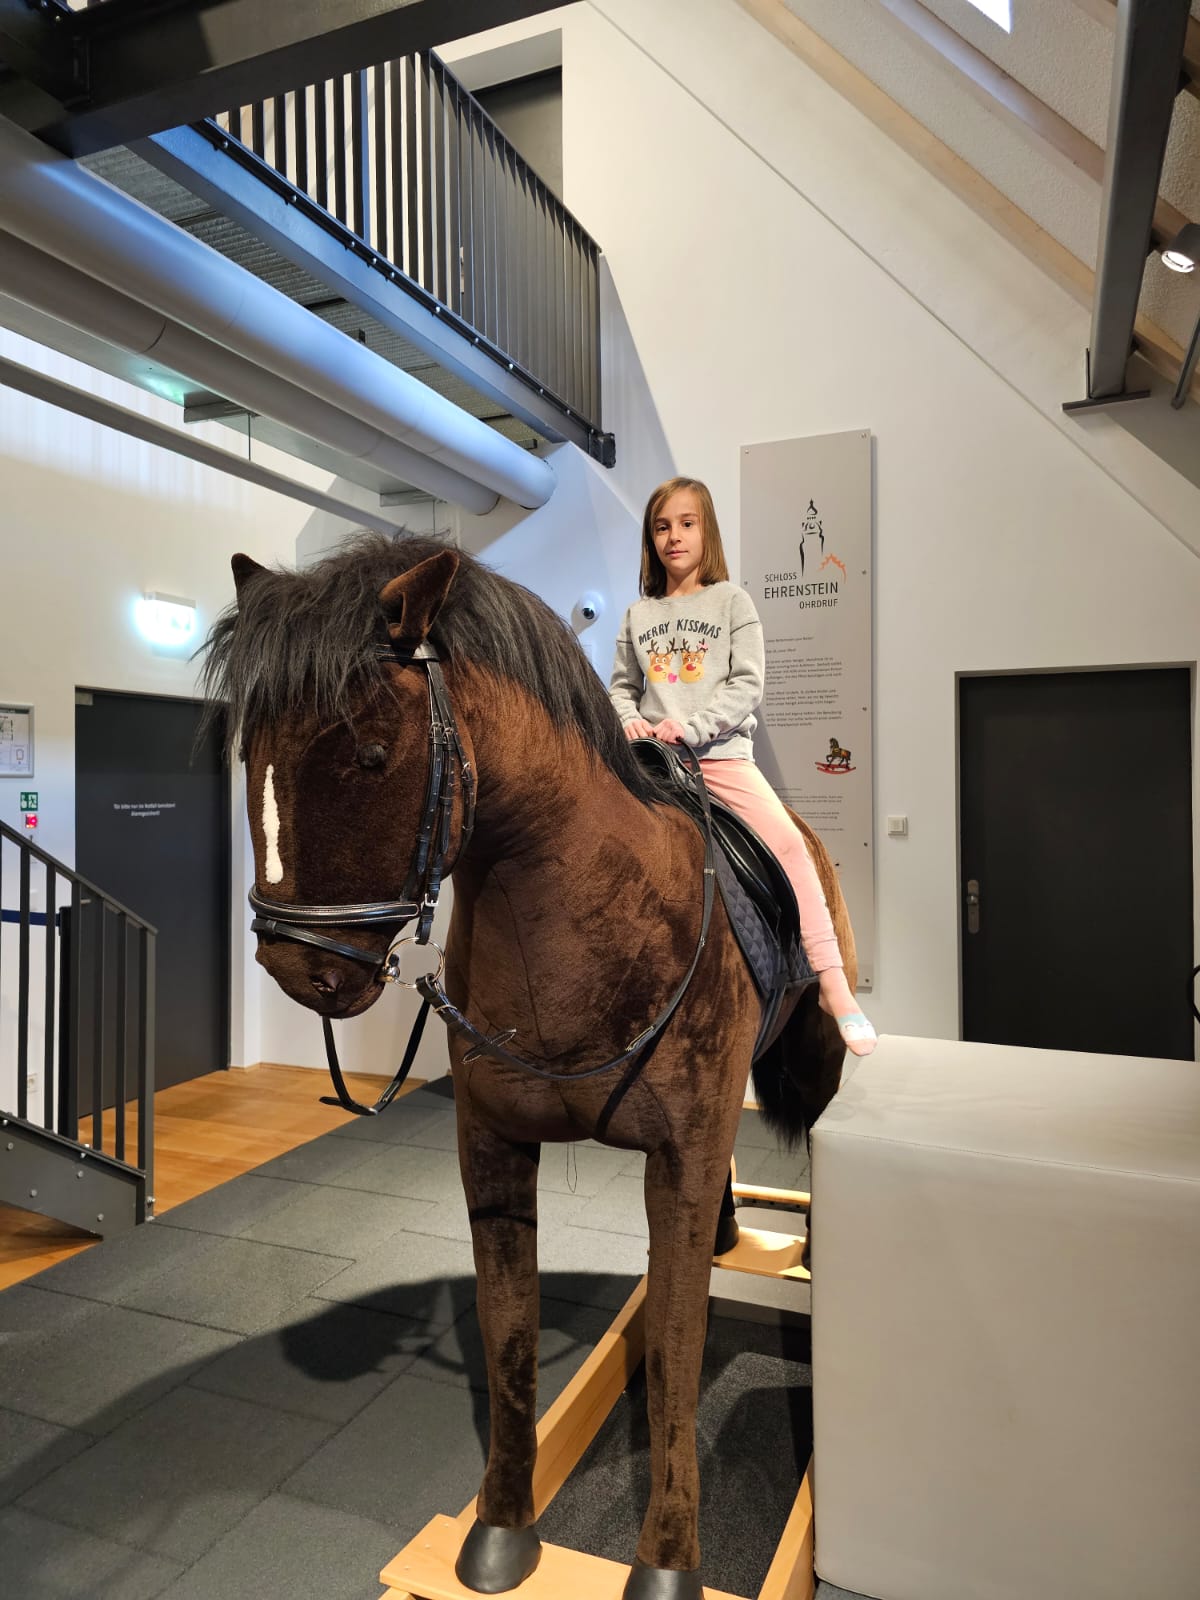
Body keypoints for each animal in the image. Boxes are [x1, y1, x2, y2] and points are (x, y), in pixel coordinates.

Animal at [200, 533, 855, 1600]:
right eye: (247, 754)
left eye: (371, 754)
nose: (297, 967)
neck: (578, 922)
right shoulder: (495, 1152)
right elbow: (510, 1341)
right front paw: (502, 1533)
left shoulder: (675, 1163)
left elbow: (677, 1353)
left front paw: (666, 1563)